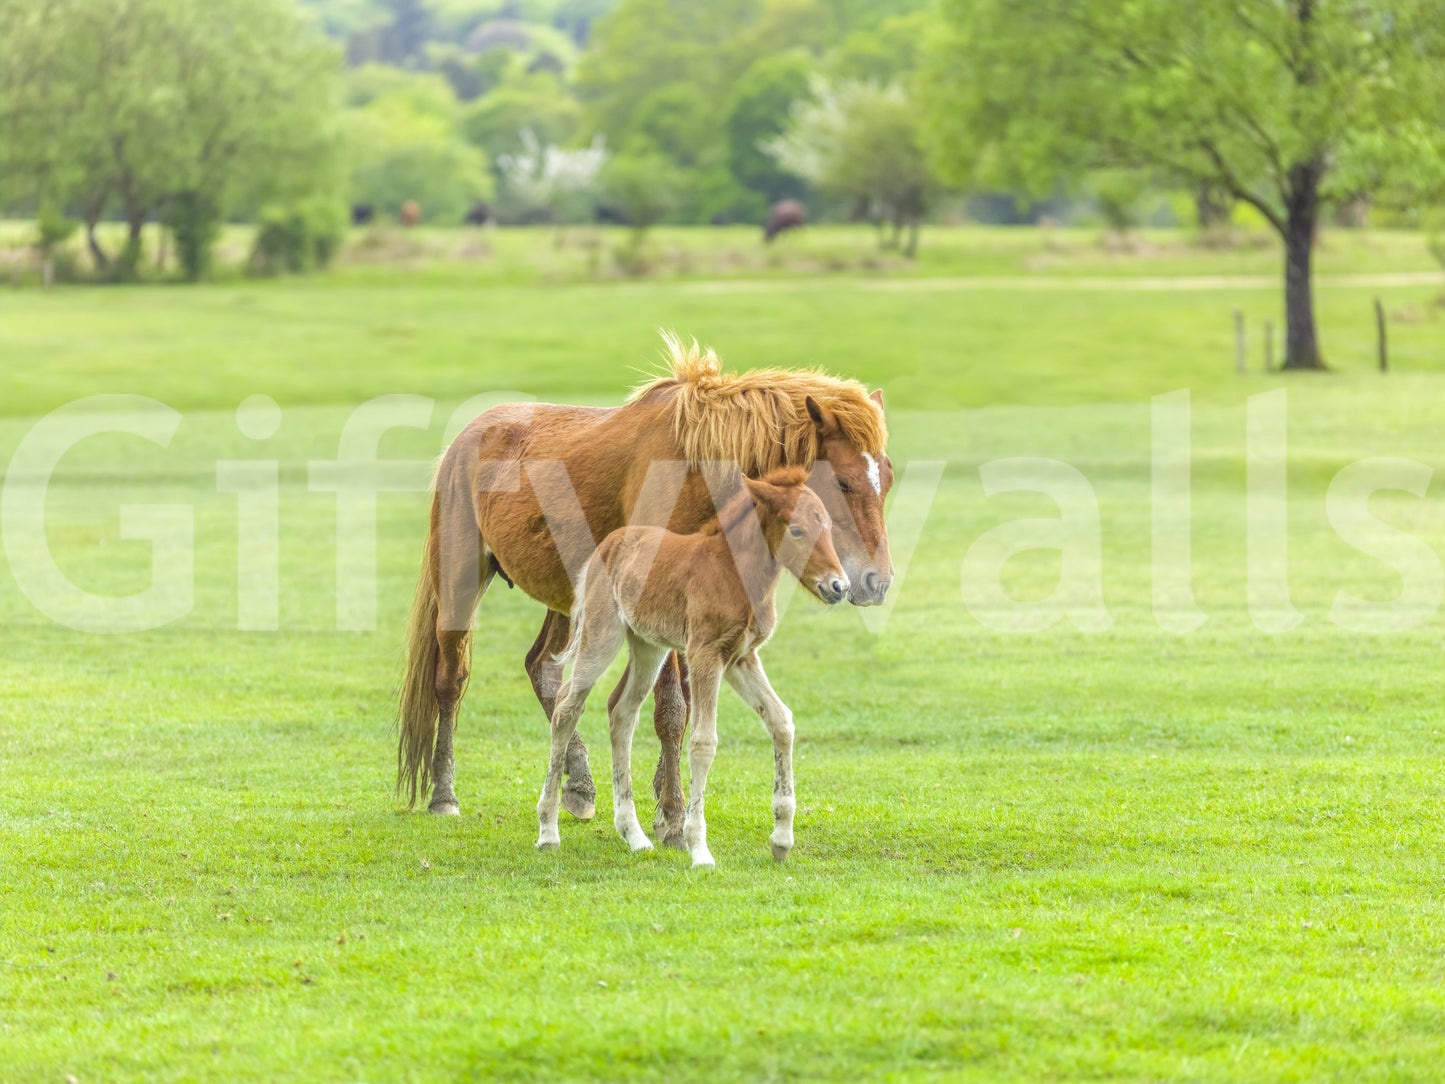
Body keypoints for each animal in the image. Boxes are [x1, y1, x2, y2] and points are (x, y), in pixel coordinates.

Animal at [538, 466, 846, 867]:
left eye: (828, 526)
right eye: (796, 531)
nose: (839, 586)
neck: (734, 572)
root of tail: (606, 546)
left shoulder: (741, 658)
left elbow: (781, 721)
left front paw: (781, 839)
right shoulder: (704, 655)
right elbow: (703, 741)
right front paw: (699, 849)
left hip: (649, 647)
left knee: (621, 711)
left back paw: (634, 835)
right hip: (602, 636)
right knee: (567, 706)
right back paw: (548, 831)